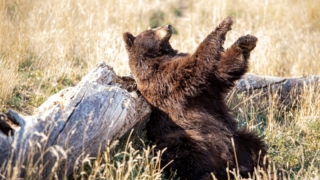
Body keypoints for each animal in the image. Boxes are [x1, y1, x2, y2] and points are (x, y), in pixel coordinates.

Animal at [122, 16, 268, 179]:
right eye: (152, 30)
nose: (168, 26)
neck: (157, 56)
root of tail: (225, 163)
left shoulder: (207, 86)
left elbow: (223, 70)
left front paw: (246, 41)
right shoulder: (162, 79)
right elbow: (195, 65)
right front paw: (224, 24)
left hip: (236, 140)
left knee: (254, 144)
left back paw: (258, 168)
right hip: (183, 135)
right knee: (186, 153)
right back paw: (206, 173)